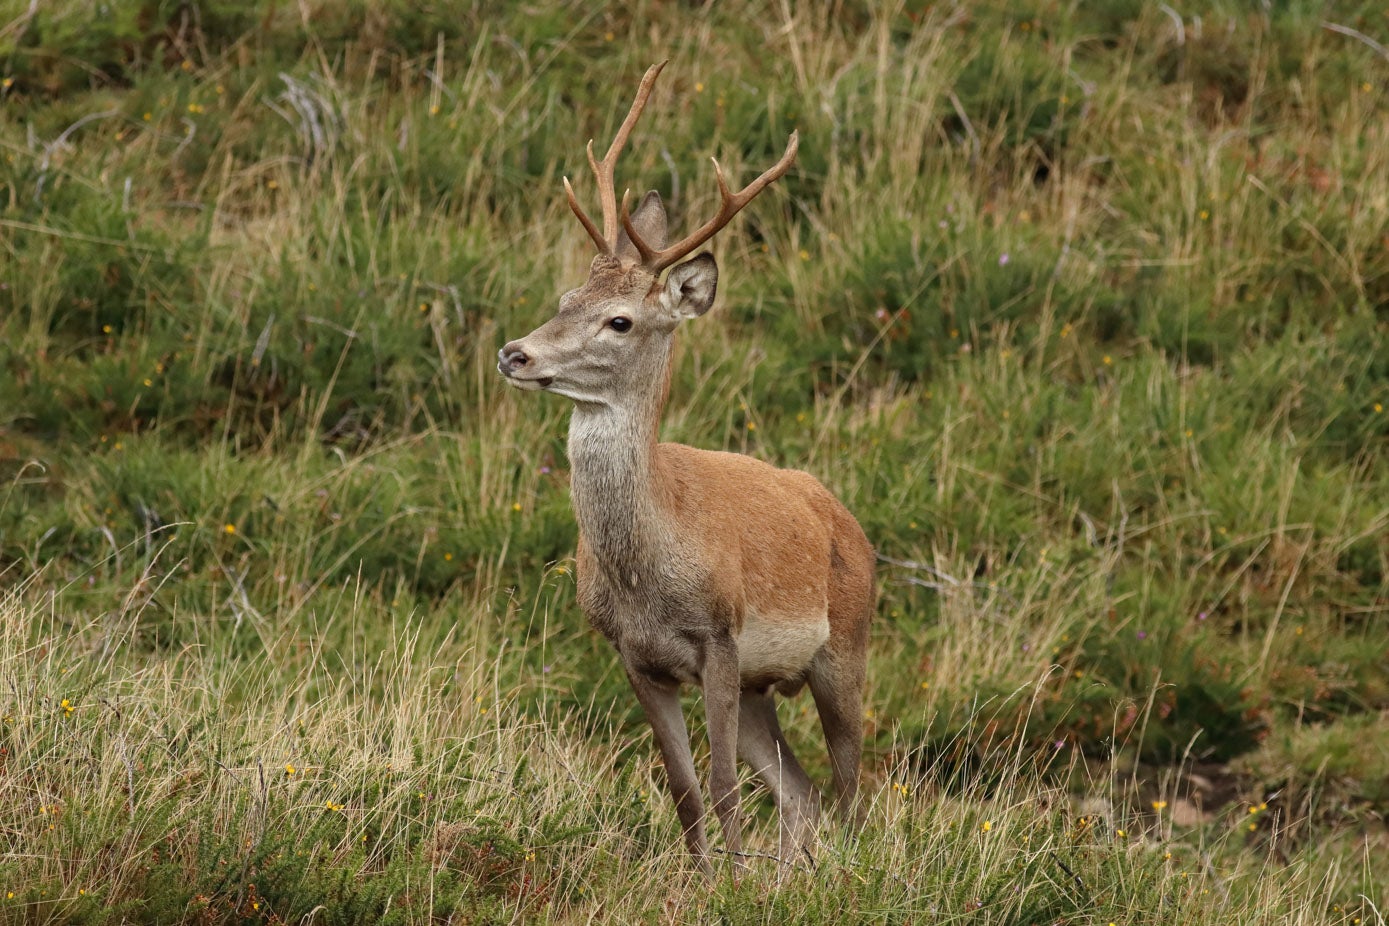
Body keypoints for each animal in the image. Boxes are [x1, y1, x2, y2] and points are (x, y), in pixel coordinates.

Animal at [494, 63, 872, 877]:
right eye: (566, 297)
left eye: (621, 321)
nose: (515, 353)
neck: (650, 570)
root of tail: (843, 515)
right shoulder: (634, 656)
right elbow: (685, 788)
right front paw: (704, 881)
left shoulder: (720, 640)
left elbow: (725, 785)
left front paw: (731, 882)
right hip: (765, 686)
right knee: (803, 795)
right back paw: (791, 880)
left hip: (844, 647)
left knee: (850, 790)